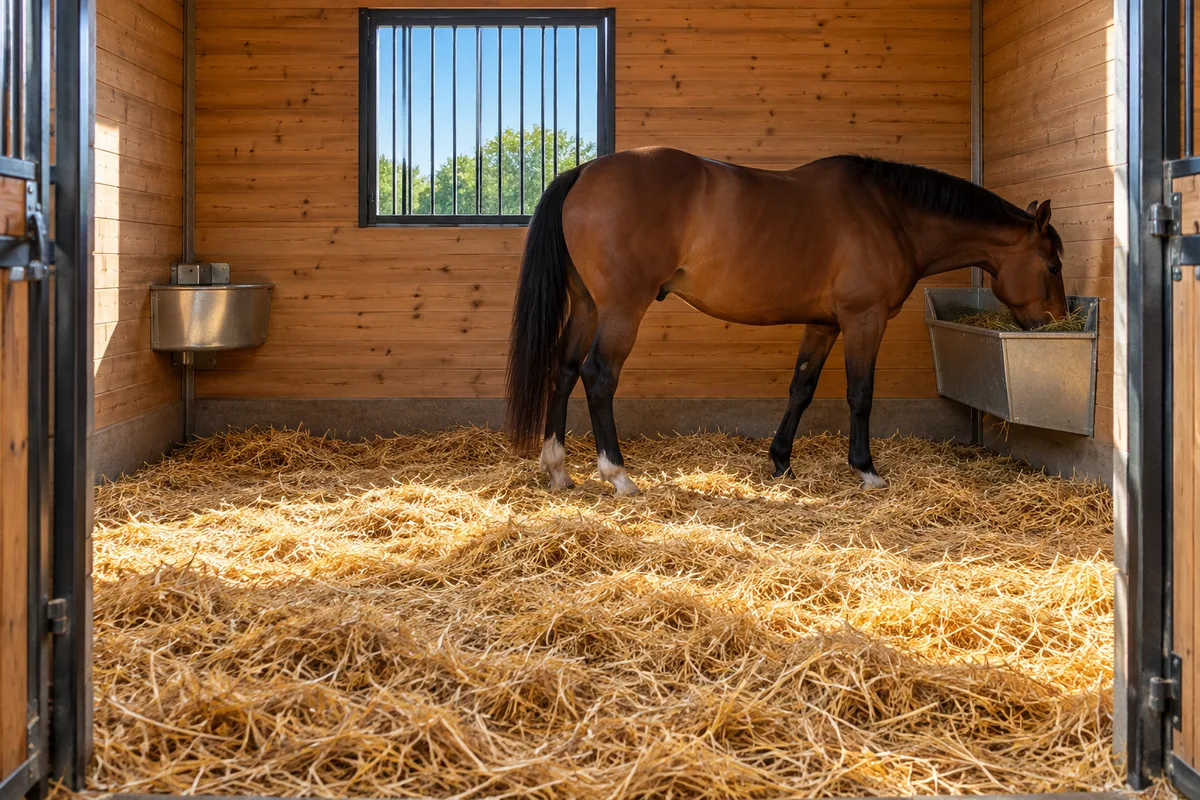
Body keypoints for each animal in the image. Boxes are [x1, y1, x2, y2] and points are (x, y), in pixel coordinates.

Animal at [504, 147, 1068, 496]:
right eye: (1053, 265)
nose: (1056, 322)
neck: (891, 215)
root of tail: (583, 173)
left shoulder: (823, 324)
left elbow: (802, 388)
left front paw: (780, 460)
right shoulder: (863, 321)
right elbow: (860, 394)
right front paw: (866, 471)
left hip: (588, 306)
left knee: (565, 370)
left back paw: (558, 470)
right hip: (622, 307)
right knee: (599, 375)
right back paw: (617, 474)